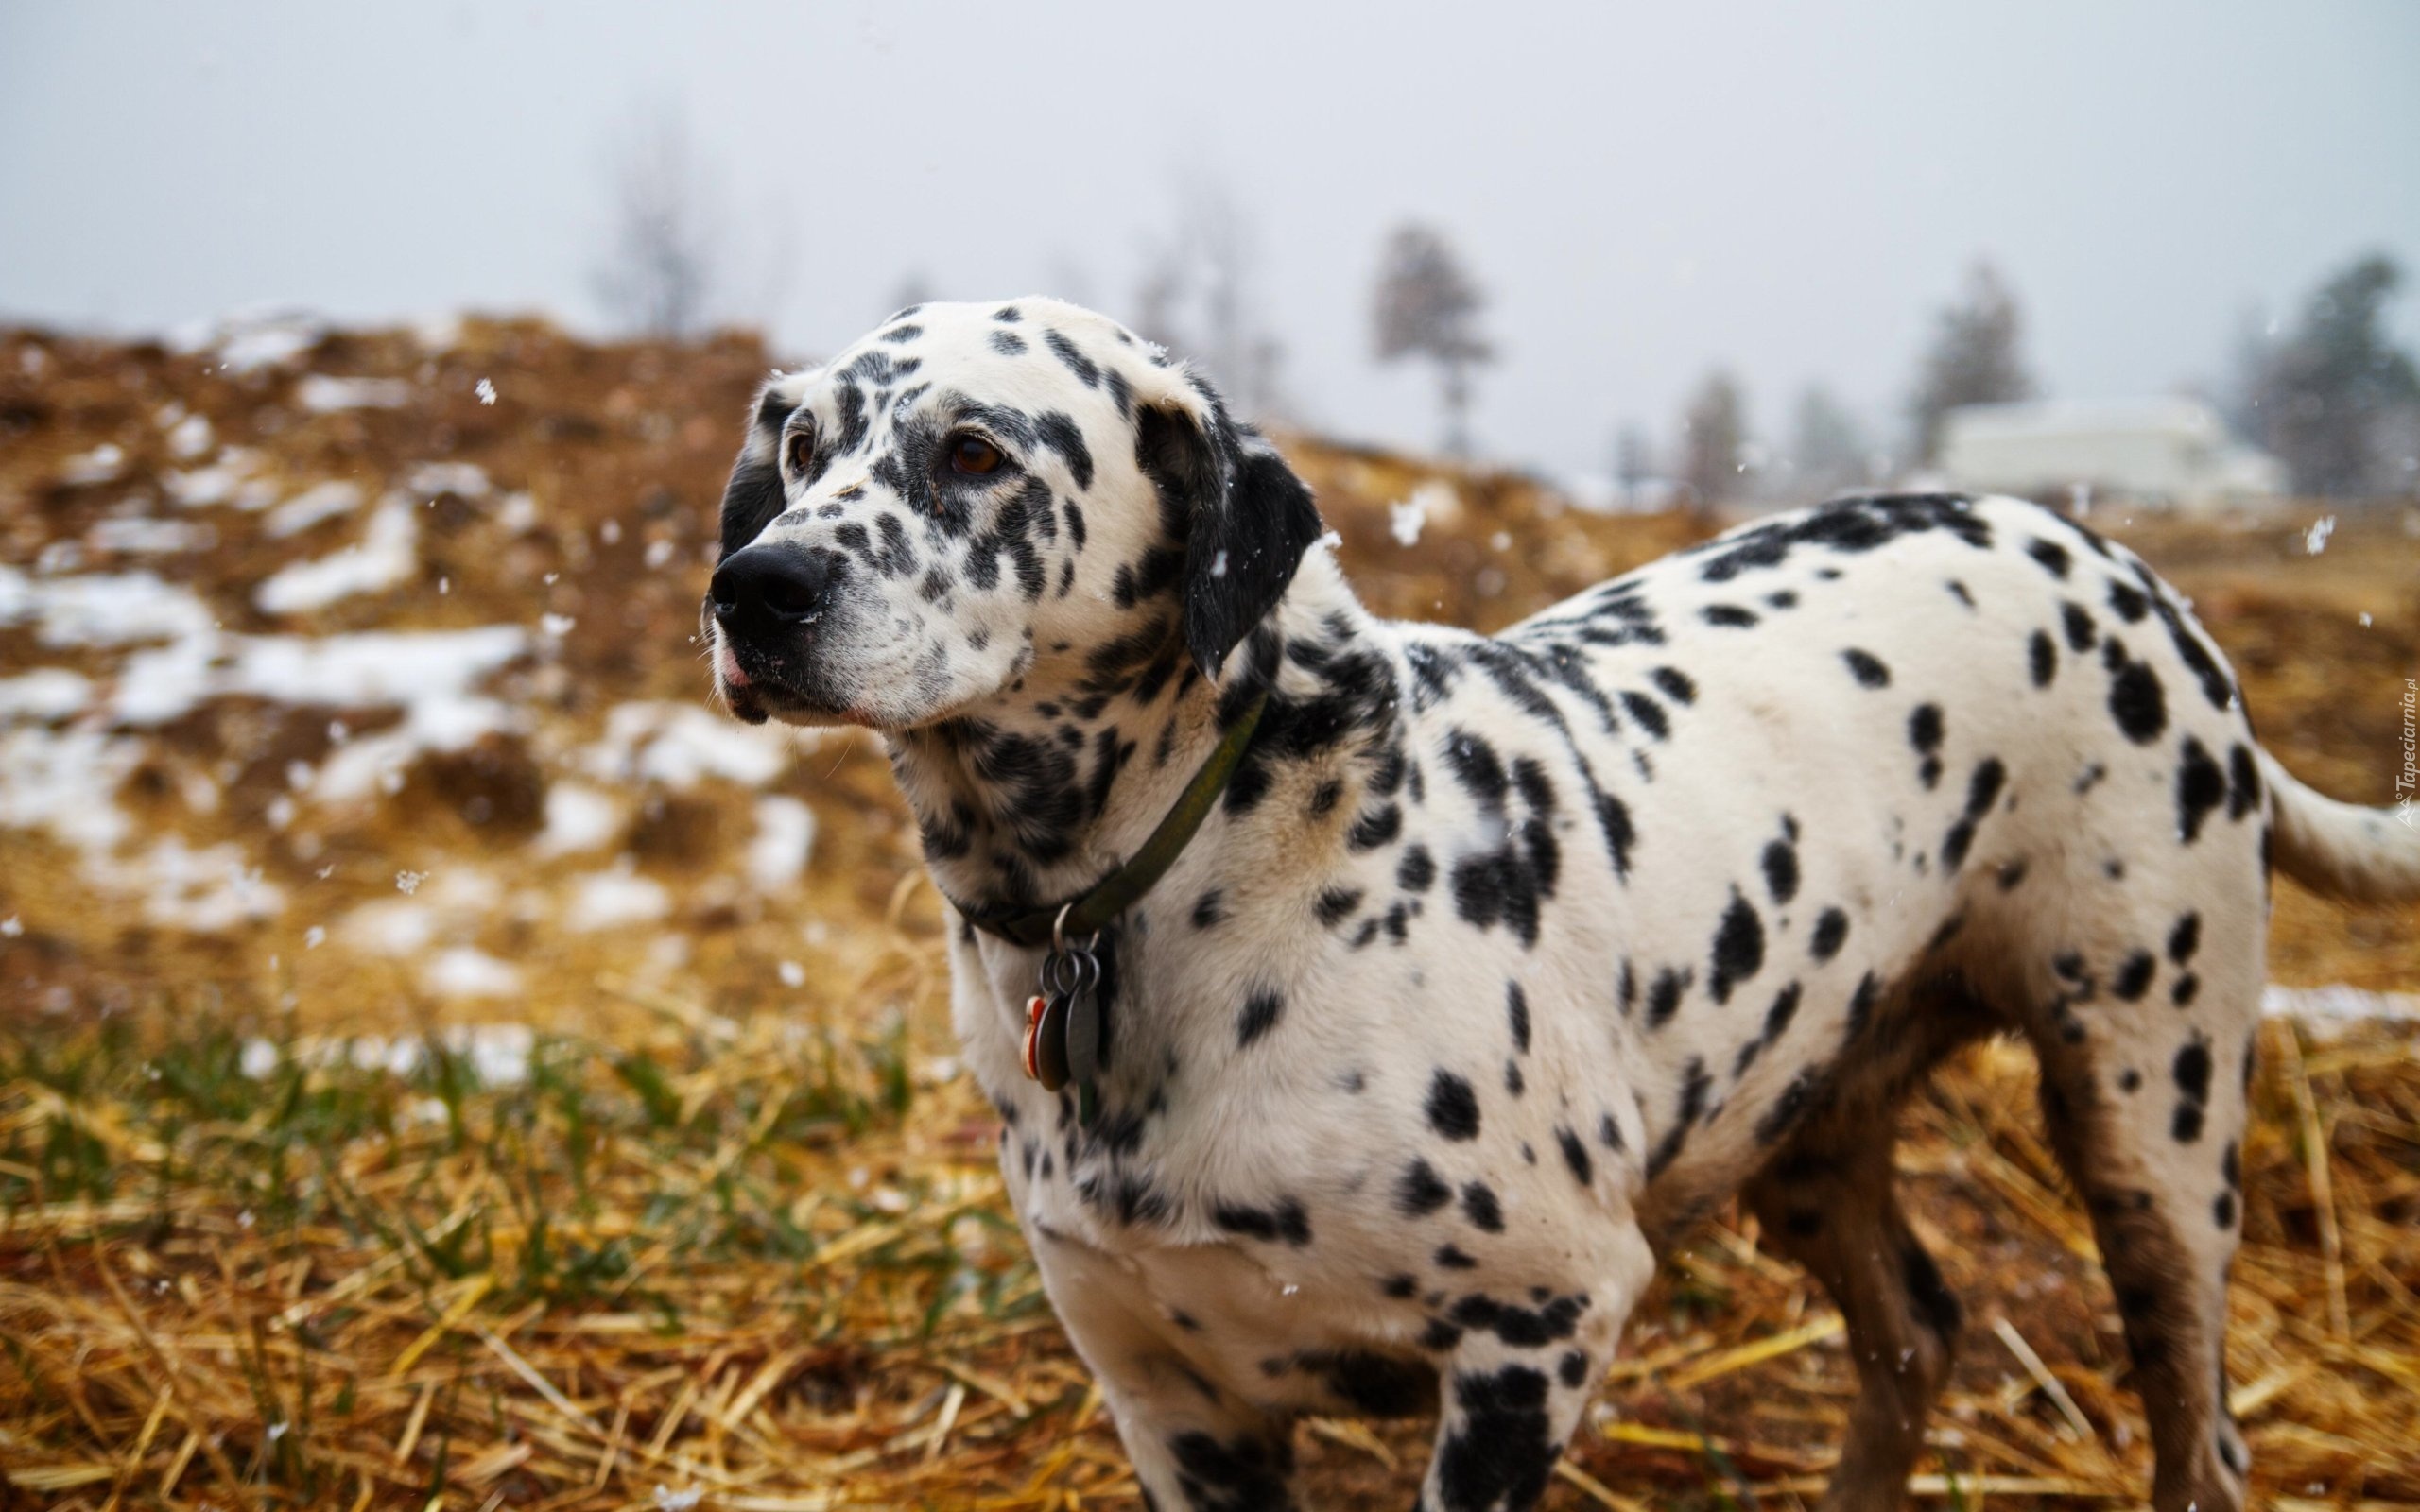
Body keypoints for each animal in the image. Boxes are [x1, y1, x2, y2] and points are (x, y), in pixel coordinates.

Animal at [701, 297, 2420, 1509]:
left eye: (975, 452)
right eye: (798, 451)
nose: (753, 591)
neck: (1188, 872)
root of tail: (2124, 567)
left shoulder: (1542, 1330)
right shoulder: (1177, 1405)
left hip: (2152, 1136)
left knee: (2201, 1438)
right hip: (1810, 1133)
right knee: (1918, 1336)